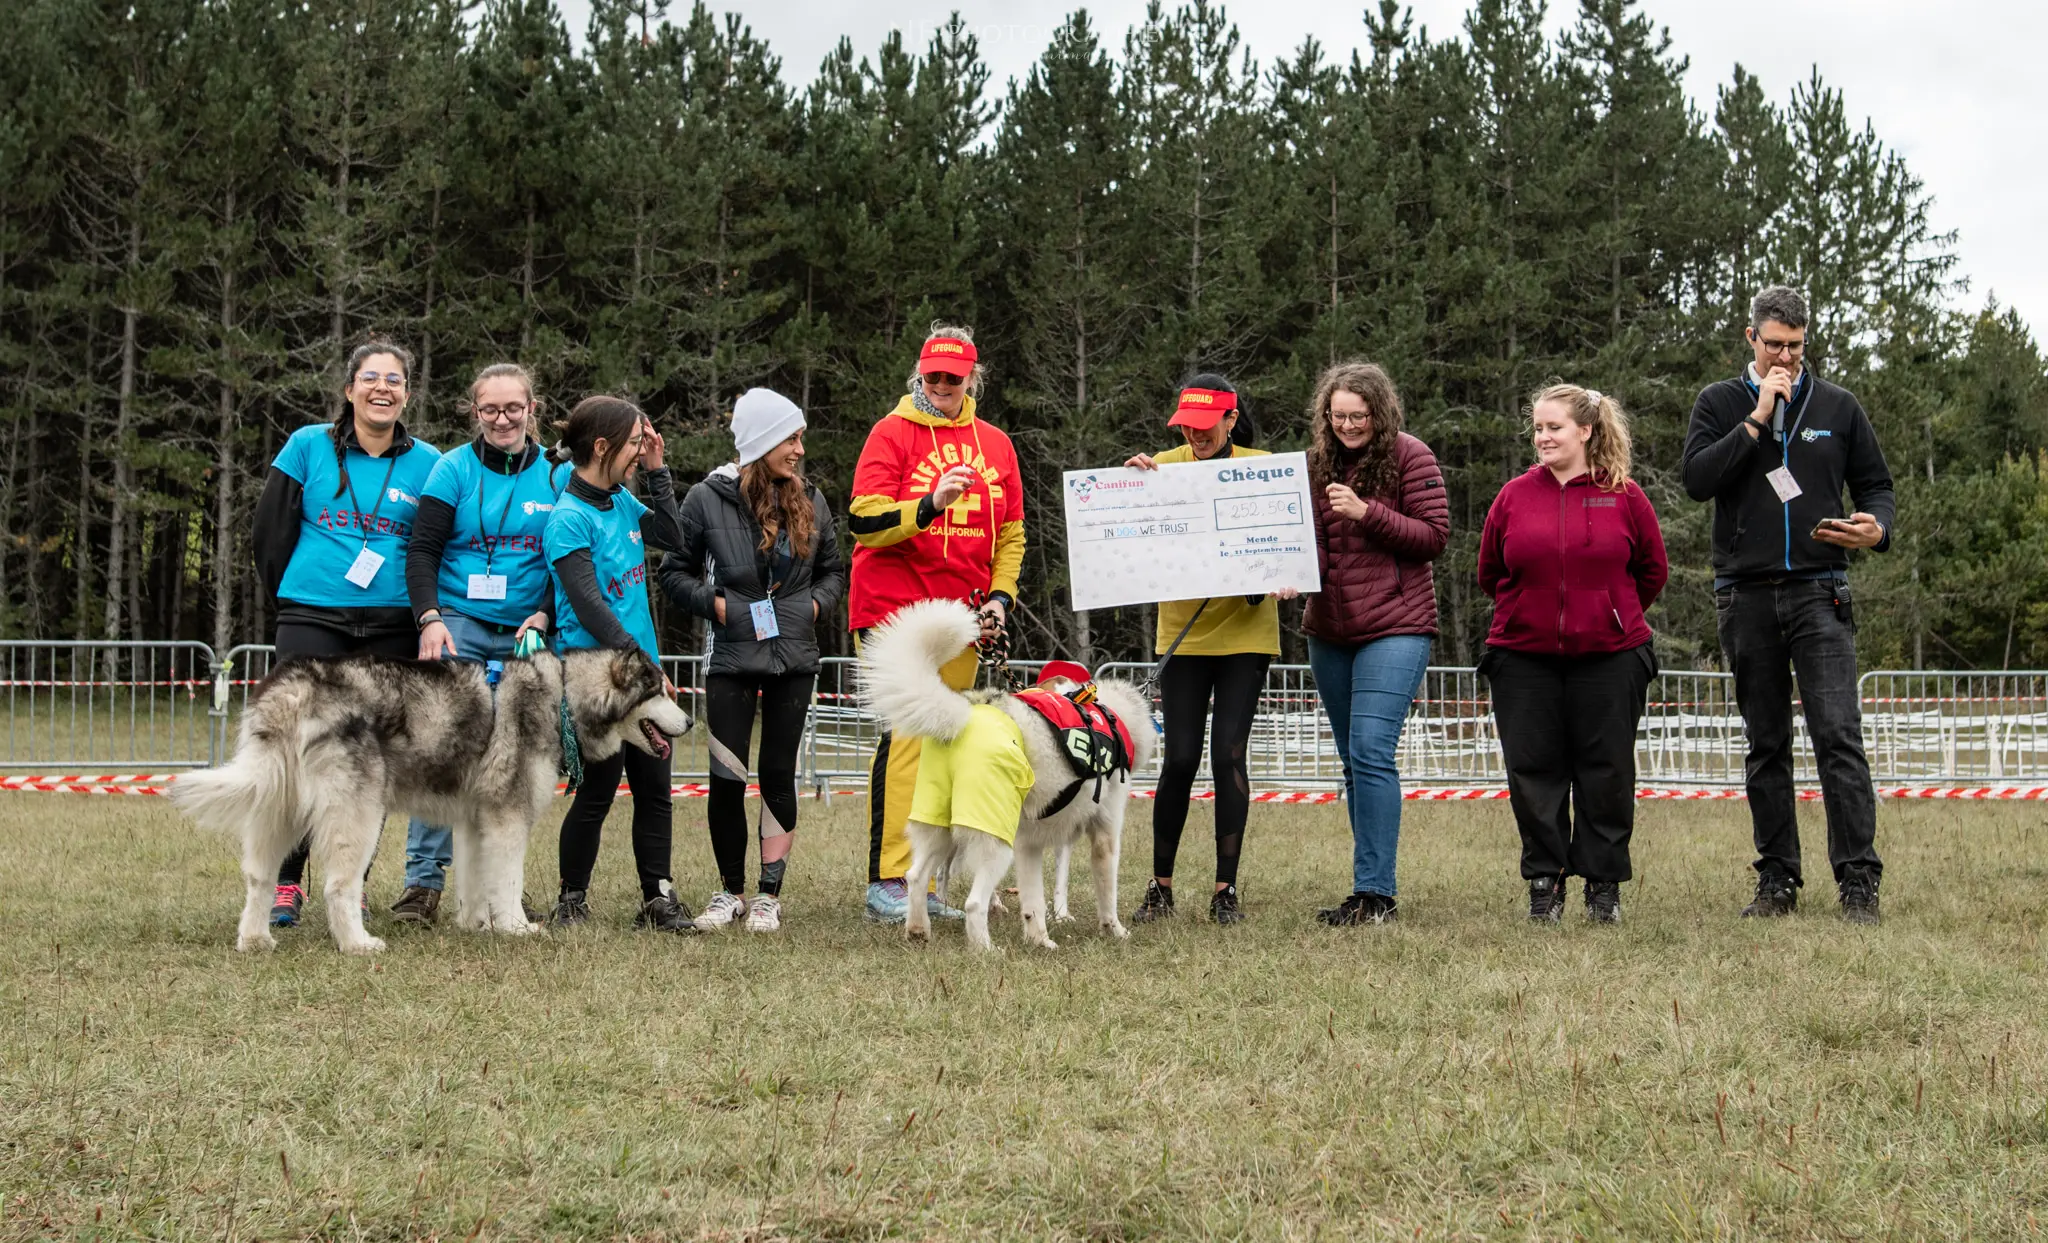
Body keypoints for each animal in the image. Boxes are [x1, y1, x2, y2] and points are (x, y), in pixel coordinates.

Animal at [176, 647, 688, 958]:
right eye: (660, 692)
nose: (688, 722)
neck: (562, 697)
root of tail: (297, 684)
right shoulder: (508, 820)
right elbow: (508, 881)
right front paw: (516, 927)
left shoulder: (476, 822)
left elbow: (475, 881)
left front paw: (477, 924)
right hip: (358, 816)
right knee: (338, 886)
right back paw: (357, 944)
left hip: (276, 811)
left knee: (259, 878)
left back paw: (255, 939)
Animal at [856, 602, 1163, 954]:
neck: (1105, 716)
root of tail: (964, 716)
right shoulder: (1104, 834)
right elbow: (1107, 894)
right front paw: (1115, 931)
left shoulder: (1029, 844)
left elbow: (1033, 902)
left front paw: (1040, 940)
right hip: (994, 842)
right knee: (974, 902)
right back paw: (987, 951)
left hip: (940, 829)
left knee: (917, 877)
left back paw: (919, 931)